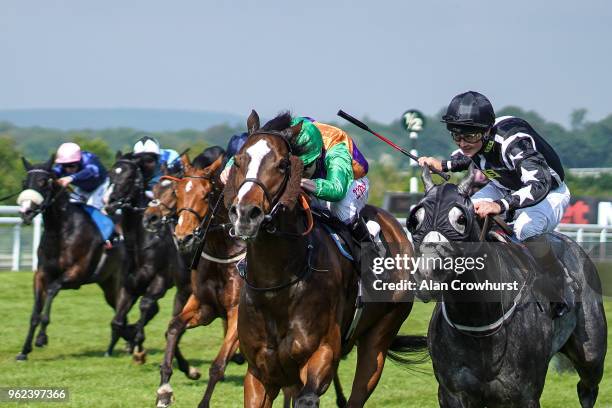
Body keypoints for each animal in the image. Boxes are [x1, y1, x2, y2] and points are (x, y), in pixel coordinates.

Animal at [16, 156, 123, 360]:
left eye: (43, 182)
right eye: (25, 183)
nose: (26, 212)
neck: (61, 232)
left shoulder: (76, 274)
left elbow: (51, 292)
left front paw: (41, 338)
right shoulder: (41, 274)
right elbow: (35, 313)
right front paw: (24, 351)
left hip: (119, 282)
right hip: (106, 284)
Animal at [104, 152, 191, 364]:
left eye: (129, 177)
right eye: (111, 174)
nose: (110, 203)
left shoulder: (160, 281)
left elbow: (145, 305)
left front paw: (137, 344)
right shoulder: (129, 284)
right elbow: (118, 320)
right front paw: (125, 341)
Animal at [155, 151, 246, 408]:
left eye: (206, 195)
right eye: (178, 192)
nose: (183, 237)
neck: (223, 252)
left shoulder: (236, 312)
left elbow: (217, 365)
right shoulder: (204, 306)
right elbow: (174, 327)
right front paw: (164, 388)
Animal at [225, 110, 426, 406]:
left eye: (283, 165)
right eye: (238, 161)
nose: (245, 214)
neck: (277, 286)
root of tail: (396, 227)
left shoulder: (321, 355)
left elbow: (308, 396)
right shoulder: (259, 374)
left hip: (379, 337)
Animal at [406, 167, 608, 408]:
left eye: (461, 219)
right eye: (415, 220)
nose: (428, 272)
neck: (478, 321)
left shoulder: (525, 395)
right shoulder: (452, 393)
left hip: (591, 353)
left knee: (587, 387)